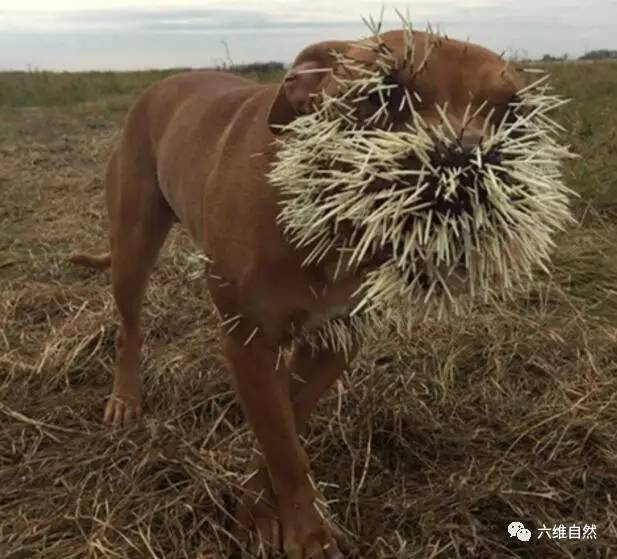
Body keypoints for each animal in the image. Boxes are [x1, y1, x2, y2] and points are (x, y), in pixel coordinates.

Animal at [71, 29, 524, 559]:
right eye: (383, 94)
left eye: (513, 111)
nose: (467, 164)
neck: (331, 220)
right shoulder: (249, 341)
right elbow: (284, 447)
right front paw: (309, 536)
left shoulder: (336, 340)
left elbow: (286, 424)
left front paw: (259, 510)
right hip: (133, 245)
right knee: (130, 327)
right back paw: (125, 397)